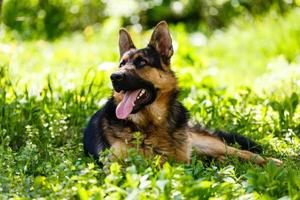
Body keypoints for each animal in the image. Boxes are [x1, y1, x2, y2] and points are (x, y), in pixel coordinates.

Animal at [83, 21, 282, 166]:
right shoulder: (115, 165)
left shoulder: (182, 159)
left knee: (240, 151)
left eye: (141, 62)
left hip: (205, 143)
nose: (114, 77)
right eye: (121, 64)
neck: (151, 123)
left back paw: (273, 161)